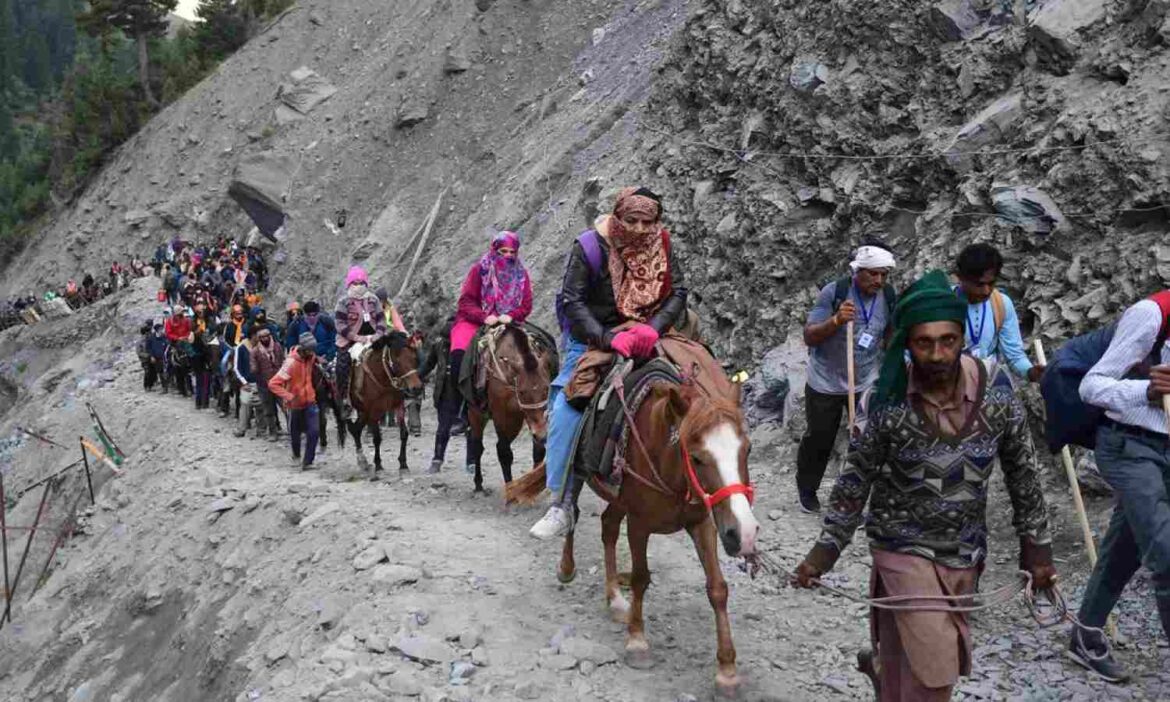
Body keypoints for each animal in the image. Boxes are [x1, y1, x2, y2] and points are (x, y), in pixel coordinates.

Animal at [341, 332, 425, 477]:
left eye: (414, 358)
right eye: (397, 361)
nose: (417, 388)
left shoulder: (398, 406)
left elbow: (404, 434)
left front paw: (403, 464)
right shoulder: (373, 411)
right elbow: (377, 438)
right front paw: (379, 465)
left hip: (364, 412)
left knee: (355, 429)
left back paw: (363, 462)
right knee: (352, 428)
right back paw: (362, 460)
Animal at [465, 325, 552, 493]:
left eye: (546, 388)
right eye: (522, 392)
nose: (542, 434)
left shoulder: (529, 417)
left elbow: (538, 451)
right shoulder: (502, 415)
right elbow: (504, 452)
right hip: (476, 411)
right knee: (478, 445)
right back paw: (478, 483)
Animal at [556, 376, 758, 692]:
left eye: (747, 450)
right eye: (697, 458)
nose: (744, 534)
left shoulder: (703, 524)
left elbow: (717, 588)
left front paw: (727, 671)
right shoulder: (639, 524)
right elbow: (640, 579)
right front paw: (637, 642)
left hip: (618, 501)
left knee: (608, 527)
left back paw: (615, 599)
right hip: (577, 473)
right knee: (572, 513)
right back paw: (567, 567)